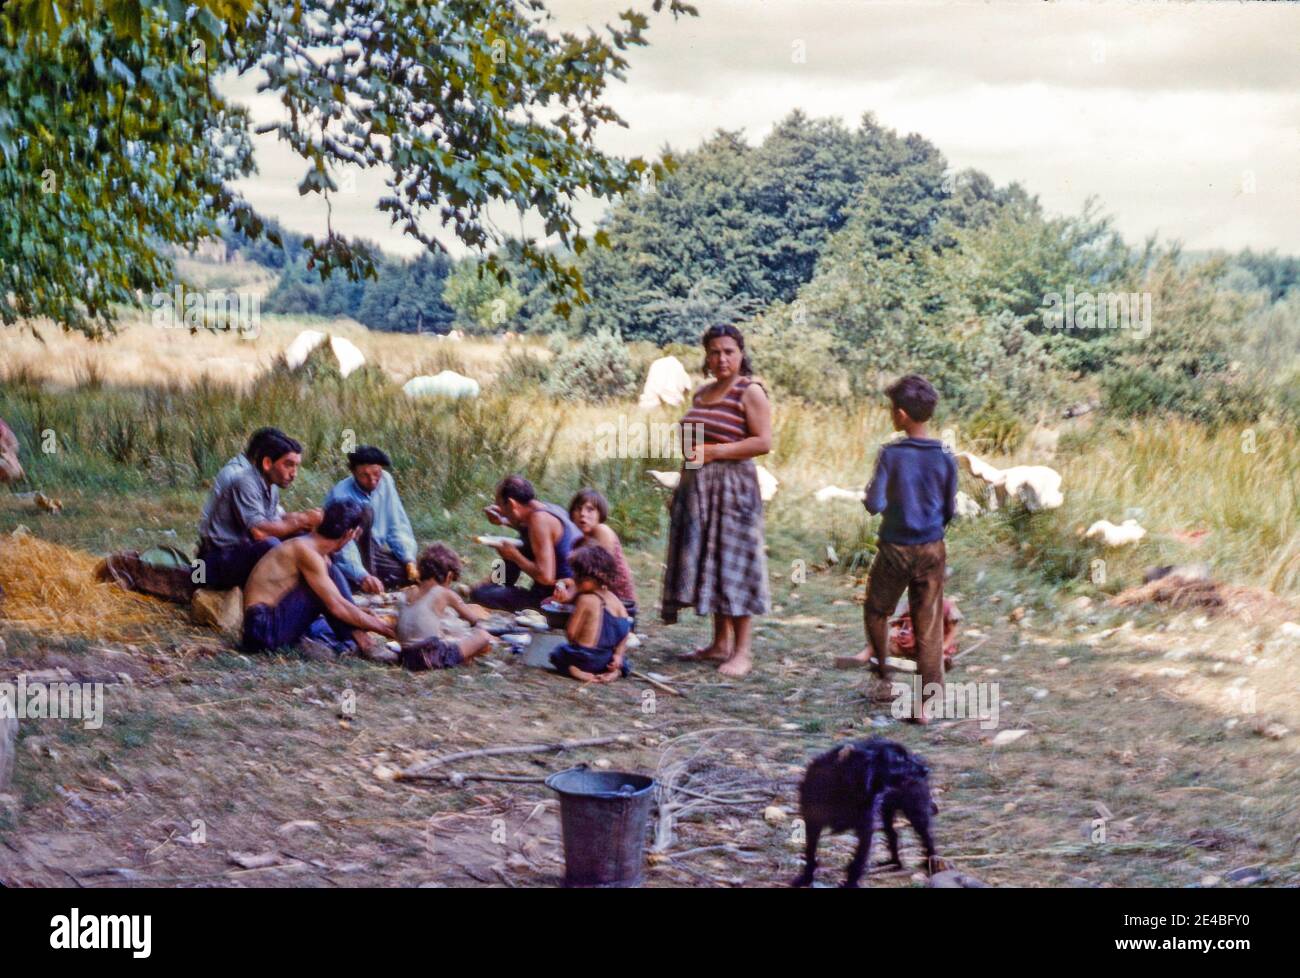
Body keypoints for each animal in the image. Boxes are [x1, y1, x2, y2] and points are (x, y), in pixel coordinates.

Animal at [790, 733, 935, 884]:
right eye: (899, 758)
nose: (926, 770)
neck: (846, 787)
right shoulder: (812, 822)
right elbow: (810, 853)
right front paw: (806, 878)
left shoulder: (866, 829)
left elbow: (858, 862)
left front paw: (850, 883)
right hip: (887, 813)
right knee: (893, 835)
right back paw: (894, 864)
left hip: (915, 812)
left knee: (928, 838)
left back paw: (931, 865)